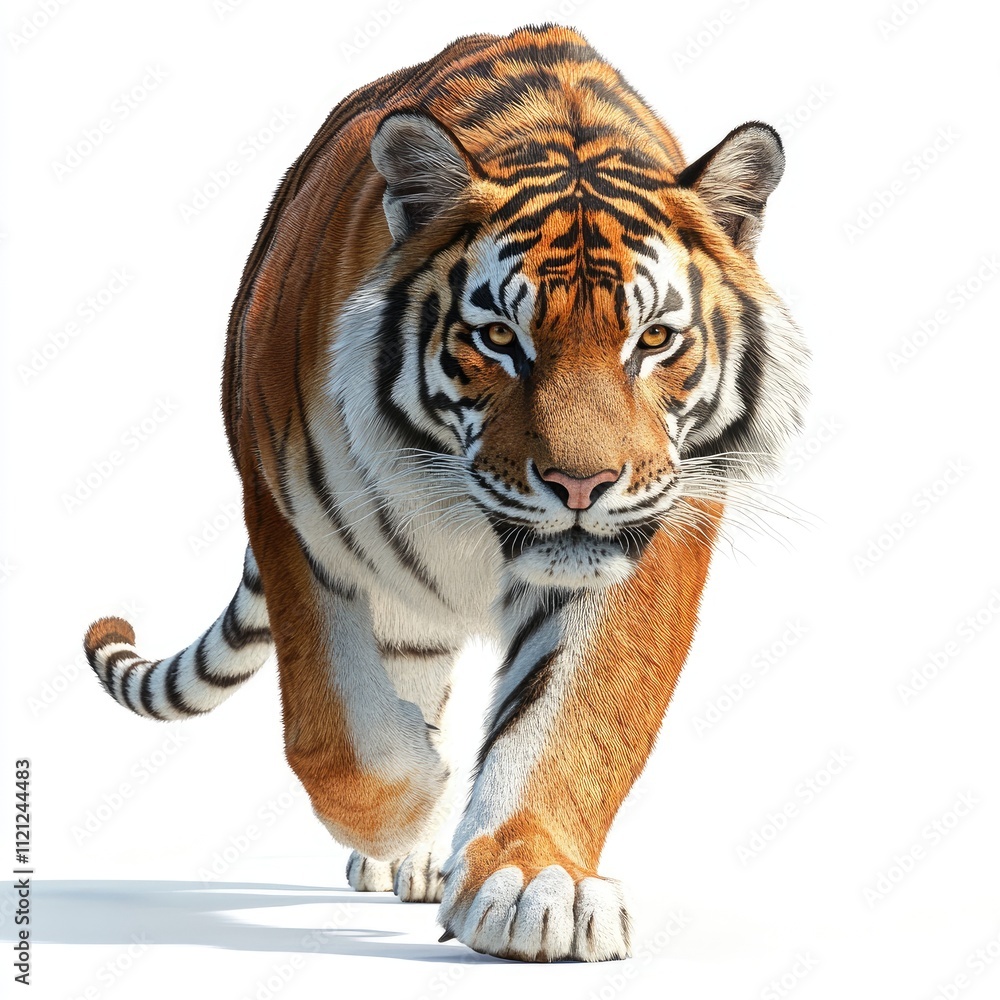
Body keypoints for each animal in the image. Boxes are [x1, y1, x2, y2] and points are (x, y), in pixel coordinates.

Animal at [83, 23, 807, 962]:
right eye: (498, 337)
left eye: (653, 340)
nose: (582, 483)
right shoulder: (290, 522)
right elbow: (334, 733)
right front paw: (410, 807)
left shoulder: (656, 533)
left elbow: (575, 717)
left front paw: (533, 881)